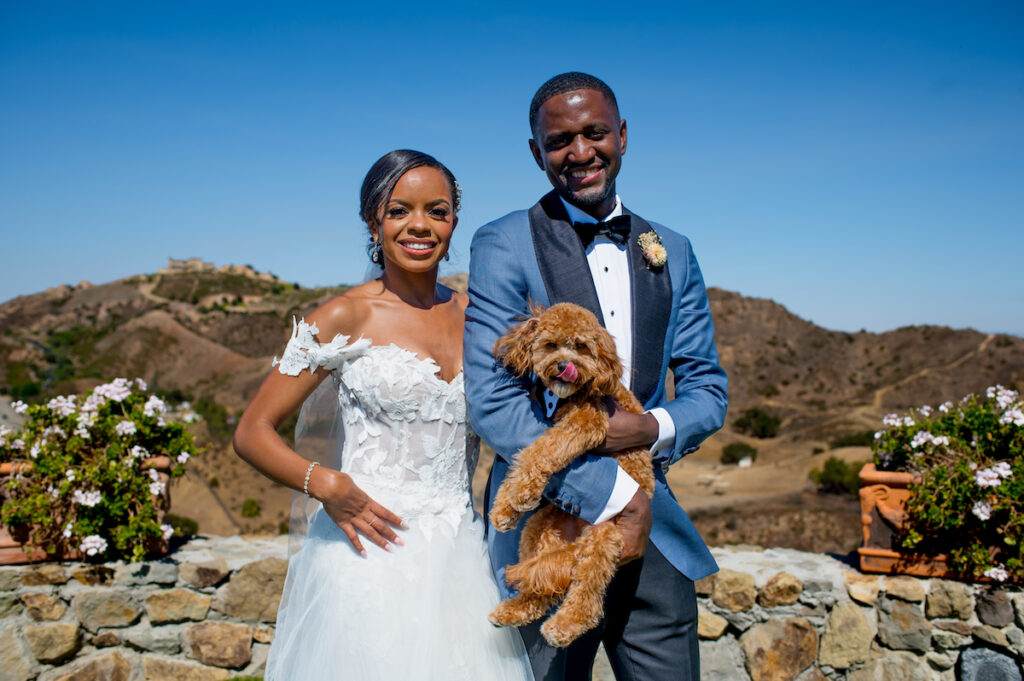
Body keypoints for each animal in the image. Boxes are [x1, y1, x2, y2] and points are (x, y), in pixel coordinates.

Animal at [487, 303, 655, 647]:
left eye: (581, 346)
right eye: (551, 345)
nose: (565, 366)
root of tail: (575, 540)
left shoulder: (589, 422)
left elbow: (542, 450)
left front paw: (517, 496)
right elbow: (533, 450)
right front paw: (505, 509)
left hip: (605, 538)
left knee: (586, 592)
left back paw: (566, 625)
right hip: (539, 529)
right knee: (542, 585)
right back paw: (514, 610)